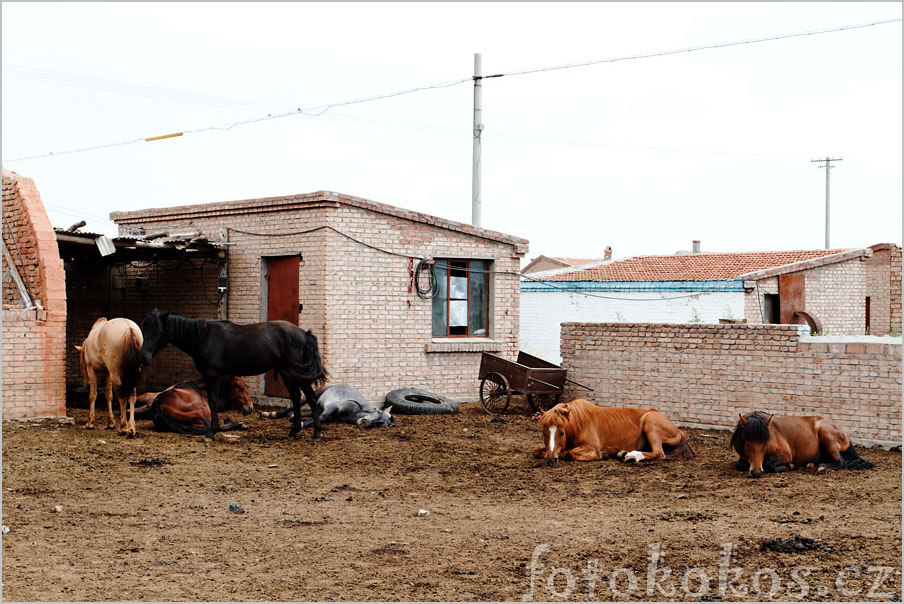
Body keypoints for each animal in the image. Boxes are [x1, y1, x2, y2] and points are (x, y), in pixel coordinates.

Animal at [139, 312, 326, 438]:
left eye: (157, 331)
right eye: (144, 329)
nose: (143, 357)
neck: (204, 338)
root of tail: (304, 334)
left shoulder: (212, 375)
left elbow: (213, 402)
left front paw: (213, 431)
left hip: (296, 374)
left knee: (310, 398)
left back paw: (316, 432)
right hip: (287, 373)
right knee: (296, 397)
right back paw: (294, 430)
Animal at [258, 384, 392, 428]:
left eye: (382, 424)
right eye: (378, 412)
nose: (364, 422)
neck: (354, 412)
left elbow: (320, 418)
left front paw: (300, 421)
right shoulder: (332, 407)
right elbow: (322, 418)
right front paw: (302, 424)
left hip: (318, 407)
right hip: (314, 395)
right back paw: (273, 414)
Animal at [528, 402, 692, 468]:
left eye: (562, 432)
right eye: (544, 433)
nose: (551, 460)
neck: (579, 422)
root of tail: (678, 430)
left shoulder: (591, 446)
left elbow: (571, 454)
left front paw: (602, 454)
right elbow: (536, 451)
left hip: (650, 423)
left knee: (659, 453)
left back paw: (631, 456)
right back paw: (624, 454)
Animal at [732, 410, 872, 476]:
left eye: (765, 443)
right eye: (747, 443)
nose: (756, 472)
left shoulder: (785, 455)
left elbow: (770, 464)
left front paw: (790, 466)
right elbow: (738, 464)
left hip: (826, 436)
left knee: (840, 462)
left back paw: (821, 467)